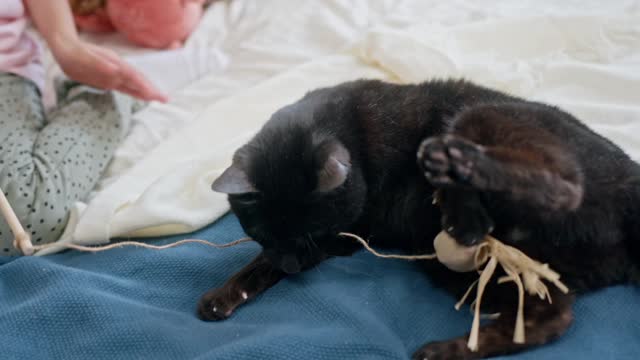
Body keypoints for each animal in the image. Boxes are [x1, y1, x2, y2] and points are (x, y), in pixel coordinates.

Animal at [198, 79, 636, 360]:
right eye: (260, 232)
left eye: (314, 233)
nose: (292, 265)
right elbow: (258, 265)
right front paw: (223, 297)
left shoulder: (346, 236)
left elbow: (261, 264)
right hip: (477, 272)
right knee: (551, 315)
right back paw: (444, 351)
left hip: (482, 118)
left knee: (562, 188)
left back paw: (459, 203)